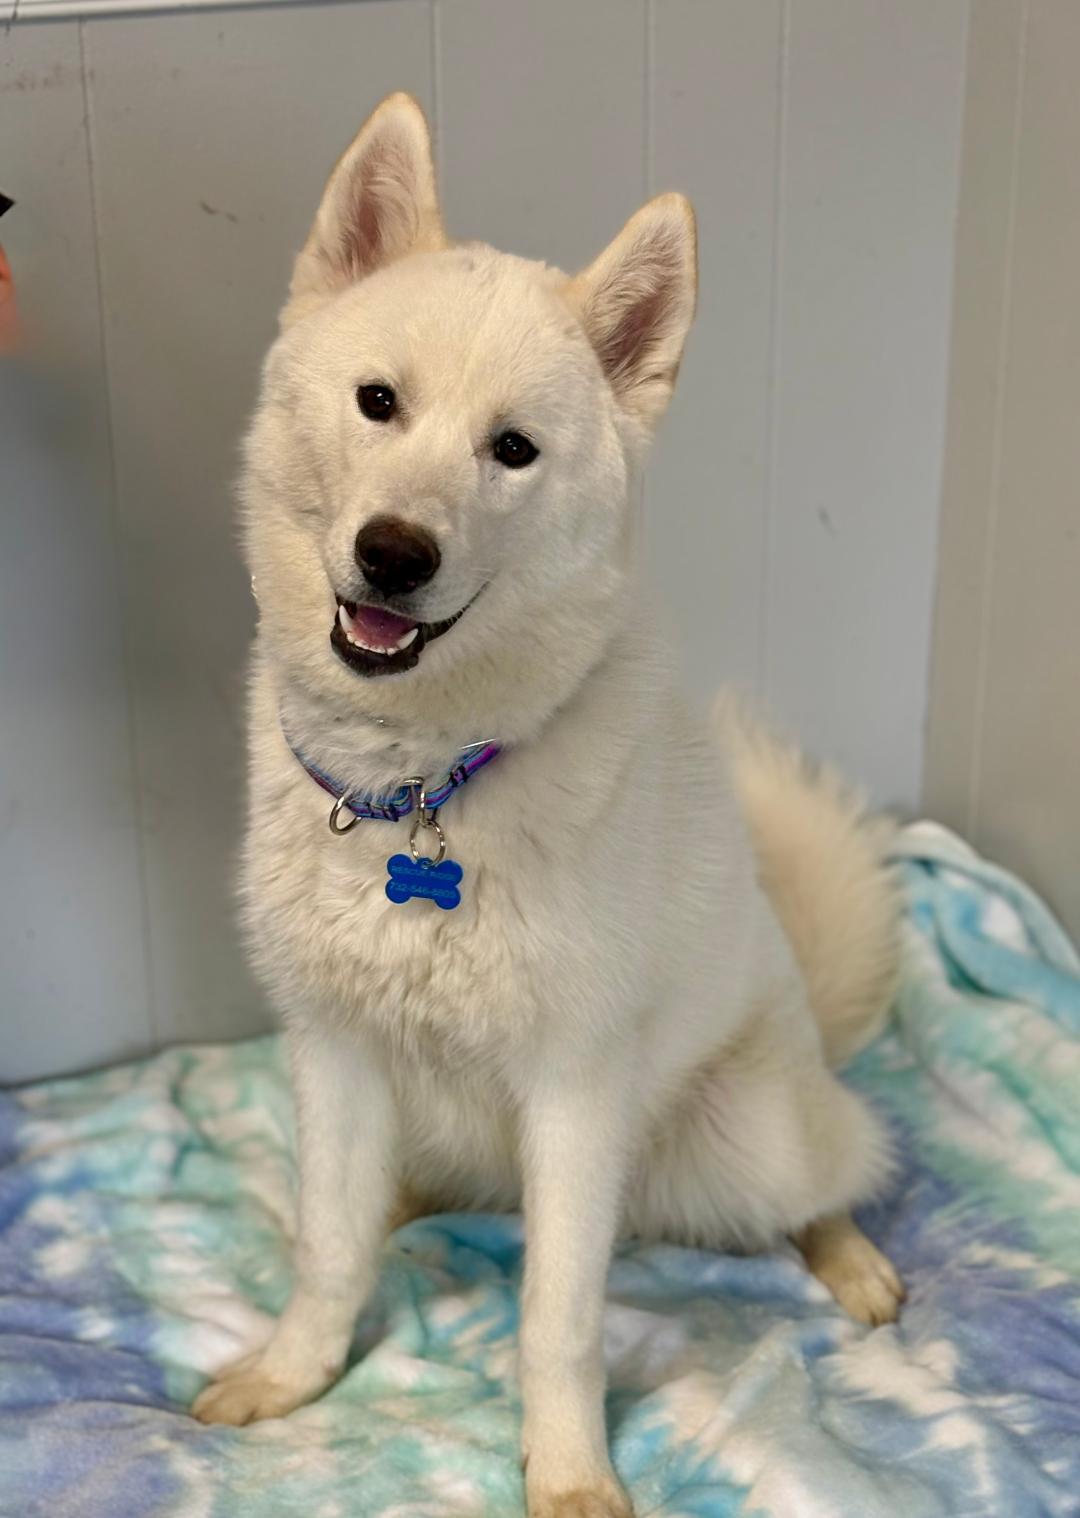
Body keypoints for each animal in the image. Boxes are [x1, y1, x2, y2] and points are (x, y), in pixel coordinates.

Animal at [194, 94, 905, 1518]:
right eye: (379, 403)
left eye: (511, 450)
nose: (394, 554)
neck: (424, 789)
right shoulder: (337, 1056)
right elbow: (327, 1252)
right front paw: (294, 1374)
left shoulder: (574, 1096)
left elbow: (557, 1320)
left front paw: (569, 1473)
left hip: (750, 1131)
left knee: (832, 1170)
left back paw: (848, 1254)